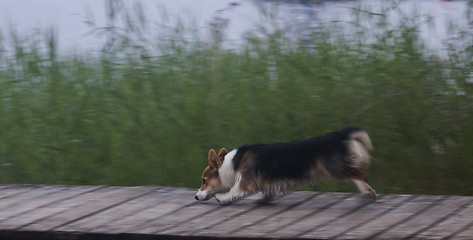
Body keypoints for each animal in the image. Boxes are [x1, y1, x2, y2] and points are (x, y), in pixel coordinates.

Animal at [194, 126, 374, 203]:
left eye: (204, 180)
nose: (195, 196)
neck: (230, 164)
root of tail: (339, 136)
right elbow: (267, 191)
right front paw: (263, 199)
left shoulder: (245, 181)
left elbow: (233, 191)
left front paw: (221, 197)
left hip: (336, 169)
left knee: (359, 175)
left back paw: (368, 192)